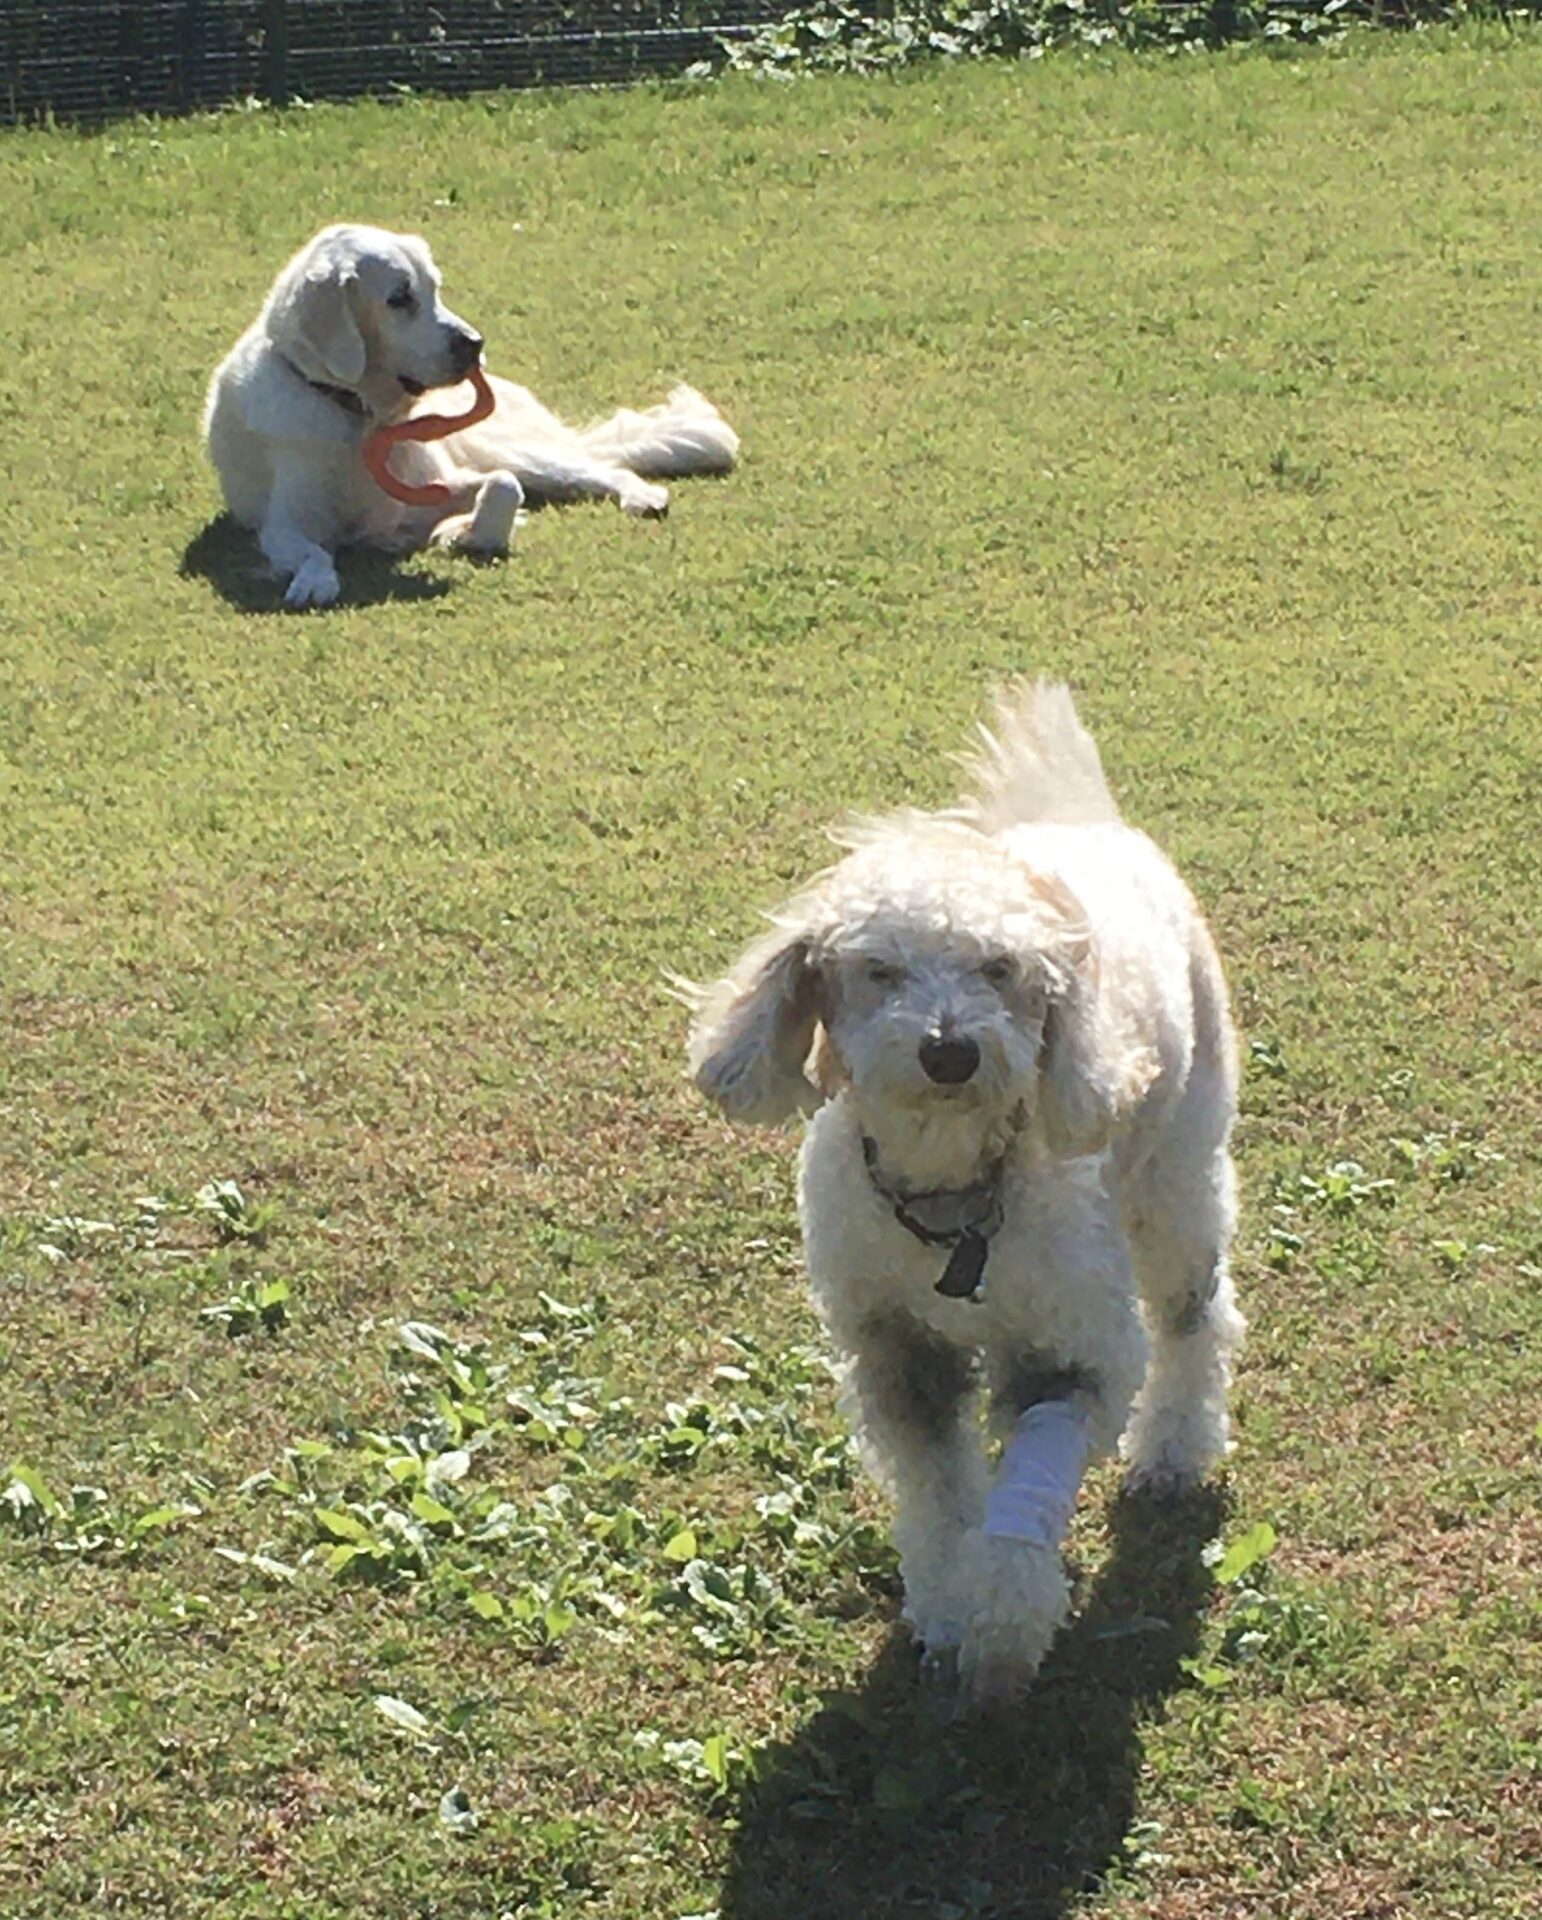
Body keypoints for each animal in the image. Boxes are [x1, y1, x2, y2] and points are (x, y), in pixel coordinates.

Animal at [202, 223, 739, 609]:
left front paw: (464, 530)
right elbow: (312, 551)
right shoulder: (284, 522)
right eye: (399, 299)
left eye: (435, 289)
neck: (361, 419)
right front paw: (315, 580)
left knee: (601, 468)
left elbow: (502, 488)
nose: (475, 344)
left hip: (520, 452)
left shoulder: (446, 482)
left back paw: (642, 495)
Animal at [686, 683, 1244, 1701]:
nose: (950, 1049)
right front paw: (948, 1604)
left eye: (1002, 969)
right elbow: (939, 1491)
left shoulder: (1074, 1350)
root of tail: (1084, 818)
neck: (949, 1203)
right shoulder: (898, 1352)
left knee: (1196, 1319)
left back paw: (1175, 1451)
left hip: (1176, 1177)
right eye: (879, 969)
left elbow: (1026, 1493)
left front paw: (1003, 1628)